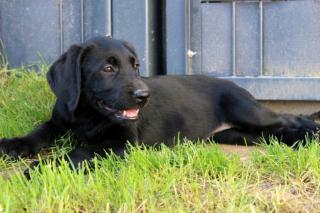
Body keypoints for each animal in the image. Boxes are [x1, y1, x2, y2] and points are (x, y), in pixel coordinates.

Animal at [0, 36, 320, 166]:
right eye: (108, 68)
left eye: (136, 66)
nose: (144, 96)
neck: (88, 115)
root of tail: (235, 84)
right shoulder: (60, 120)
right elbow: (40, 131)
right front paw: (14, 145)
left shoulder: (123, 143)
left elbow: (81, 151)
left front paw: (42, 167)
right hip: (233, 134)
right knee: (272, 134)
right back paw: (298, 140)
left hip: (248, 111)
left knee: (290, 118)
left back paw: (311, 133)